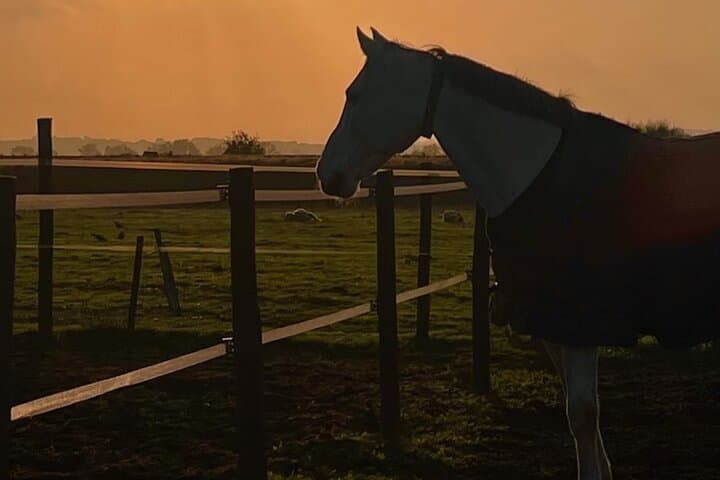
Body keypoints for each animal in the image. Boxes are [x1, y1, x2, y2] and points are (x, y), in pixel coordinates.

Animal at [315, 27, 720, 480]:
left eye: (355, 94)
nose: (326, 174)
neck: (539, 177)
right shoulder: (550, 325)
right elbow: (580, 415)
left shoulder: (578, 324)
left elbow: (582, 414)